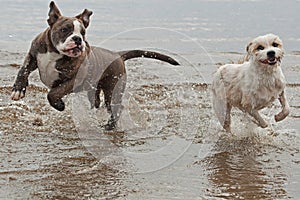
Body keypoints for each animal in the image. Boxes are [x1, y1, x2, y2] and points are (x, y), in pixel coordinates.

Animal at [11, 1, 179, 130]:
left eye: (83, 33)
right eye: (65, 30)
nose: (78, 39)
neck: (55, 53)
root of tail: (118, 55)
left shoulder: (73, 79)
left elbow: (54, 92)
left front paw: (59, 105)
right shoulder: (33, 56)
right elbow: (23, 70)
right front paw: (18, 89)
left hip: (113, 89)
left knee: (116, 107)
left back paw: (110, 126)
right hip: (96, 88)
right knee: (97, 101)